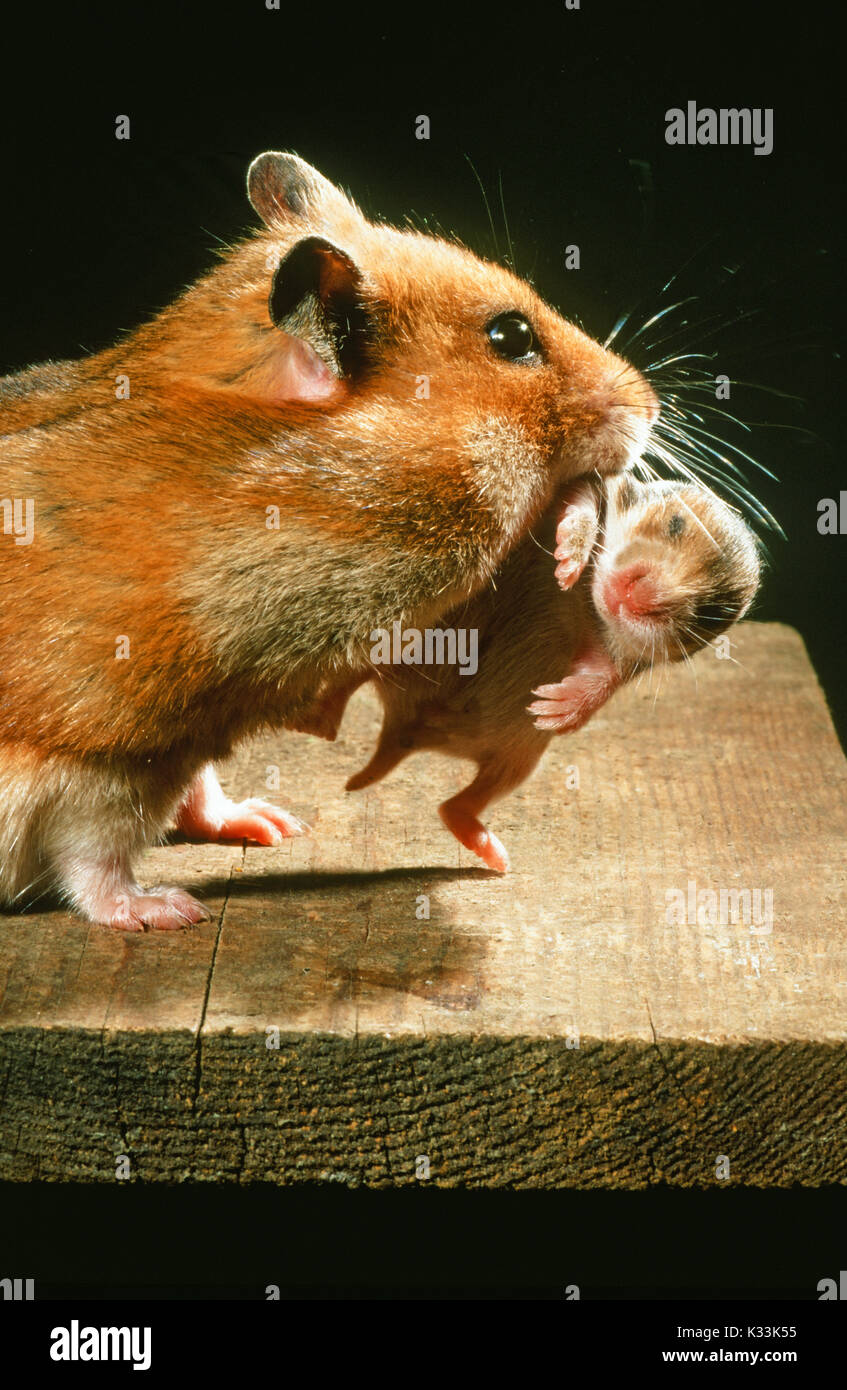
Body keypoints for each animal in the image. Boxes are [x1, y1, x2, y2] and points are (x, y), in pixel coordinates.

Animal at [0, 149, 653, 922]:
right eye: (512, 337)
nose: (651, 406)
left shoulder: (187, 739)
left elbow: (194, 787)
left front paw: (272, 826)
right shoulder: (109, 743)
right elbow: (95, 855)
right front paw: (169, 910)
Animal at [336, 478, 762, 867]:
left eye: (713, 612)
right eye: (676, 523)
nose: (638, 596)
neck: (589, 603)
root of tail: (405, 732)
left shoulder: (615, 655)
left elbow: (601, 678)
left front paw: (555, 708)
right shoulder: (587, 490)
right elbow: (582, 501)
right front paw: (569, 559)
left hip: (520, 756)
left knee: (458, 804)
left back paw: (495, 857)